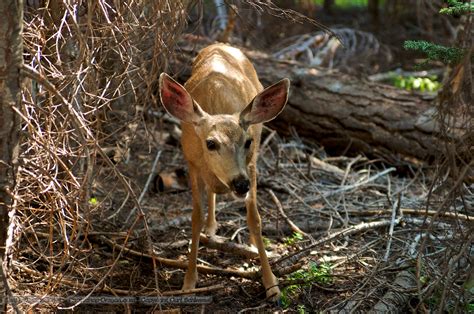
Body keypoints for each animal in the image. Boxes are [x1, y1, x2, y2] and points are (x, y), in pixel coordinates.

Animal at [159, 43, 288, 300]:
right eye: (210, 143)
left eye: (248, 141)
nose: (240, 183)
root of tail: (220, 44)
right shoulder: (191, 163)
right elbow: (195, 218)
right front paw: (189, 282)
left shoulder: (251, 164)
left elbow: (255, 219)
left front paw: (271, 285)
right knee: (210, 193)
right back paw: (212, 227)